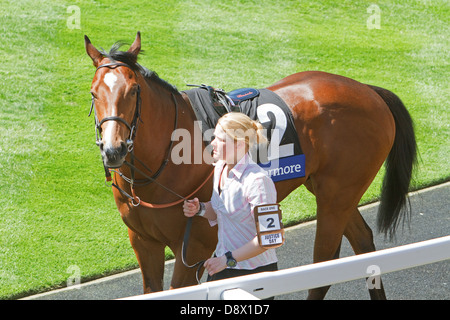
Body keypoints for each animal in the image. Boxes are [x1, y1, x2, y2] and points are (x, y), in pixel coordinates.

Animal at [85, 31, 418, 298]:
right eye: (93, 93)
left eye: (133, 90)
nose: (114, 150)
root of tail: (369, 90)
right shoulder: (144, 242)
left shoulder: (193, 246)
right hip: (331, 192)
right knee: (362, 244)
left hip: (338, 197)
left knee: (323, 269)